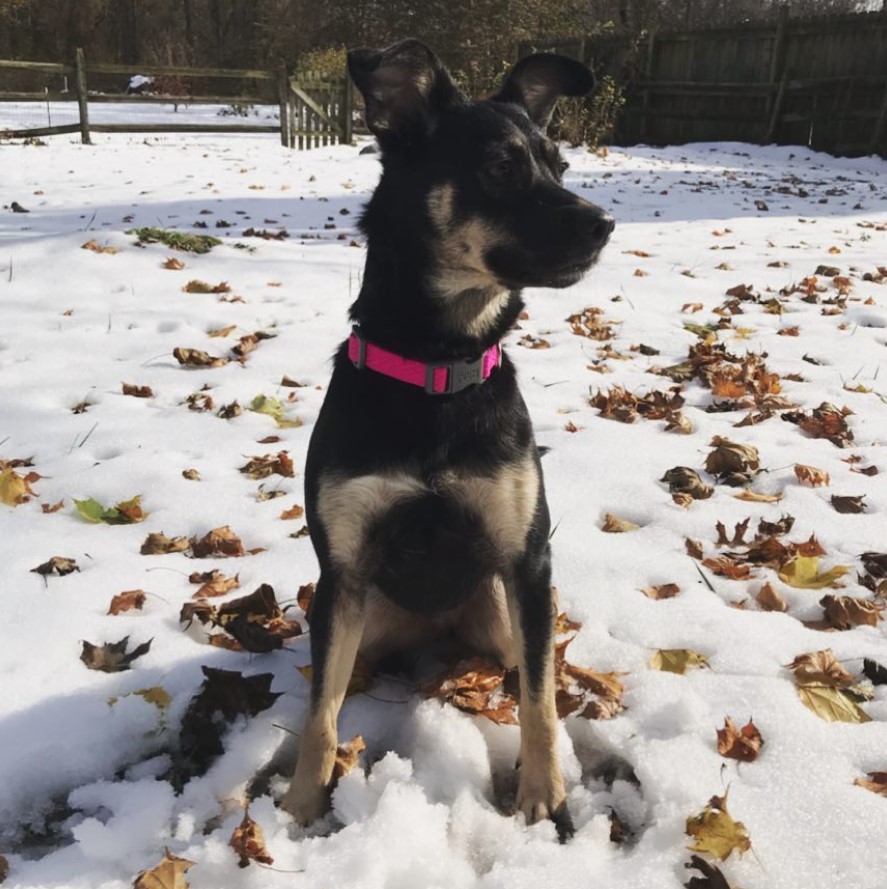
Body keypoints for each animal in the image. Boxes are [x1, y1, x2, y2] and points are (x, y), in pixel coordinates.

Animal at [280, 36, 612, 840]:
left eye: (561, 166)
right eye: (498, 165)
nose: (602, 223)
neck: (438, 364)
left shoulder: (527, 562)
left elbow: (538, 704)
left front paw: (544, 797)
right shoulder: (341, 574)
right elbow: (320, 716)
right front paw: (302, 802)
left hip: (506, 612)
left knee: (539, 670)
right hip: (357, 619)